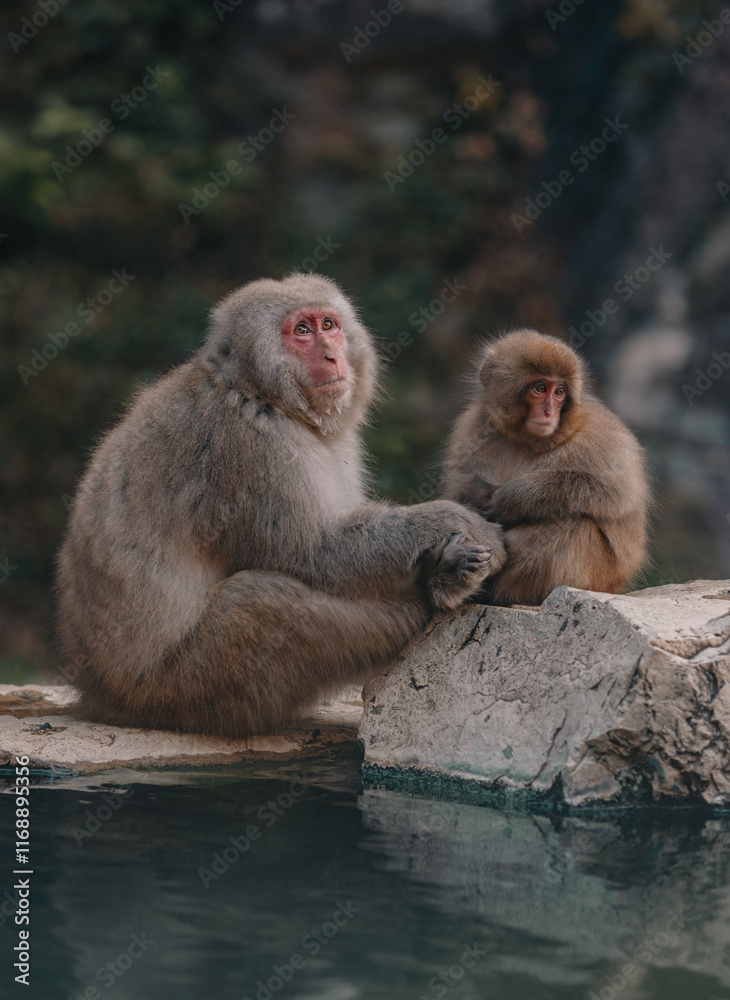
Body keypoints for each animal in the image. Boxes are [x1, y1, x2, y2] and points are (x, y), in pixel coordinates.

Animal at [56, 274, 506, 737]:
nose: (332, 355)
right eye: (301, 331)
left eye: (329, 325)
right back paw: (433, 592)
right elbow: (315, 552)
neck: (262, 396)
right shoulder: (251, 449)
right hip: (184, 688)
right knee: (265, 600)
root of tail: (99, 696)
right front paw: (453, 523)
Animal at [442, 329, 650, 606]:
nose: (550, 412)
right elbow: (461, 498)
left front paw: (512, 498)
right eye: (540, 388)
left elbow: (616, 493)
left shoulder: (601, 433)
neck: (524, 439)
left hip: (601, 577)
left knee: (573, 523)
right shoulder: (470, 430)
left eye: (560, 391)